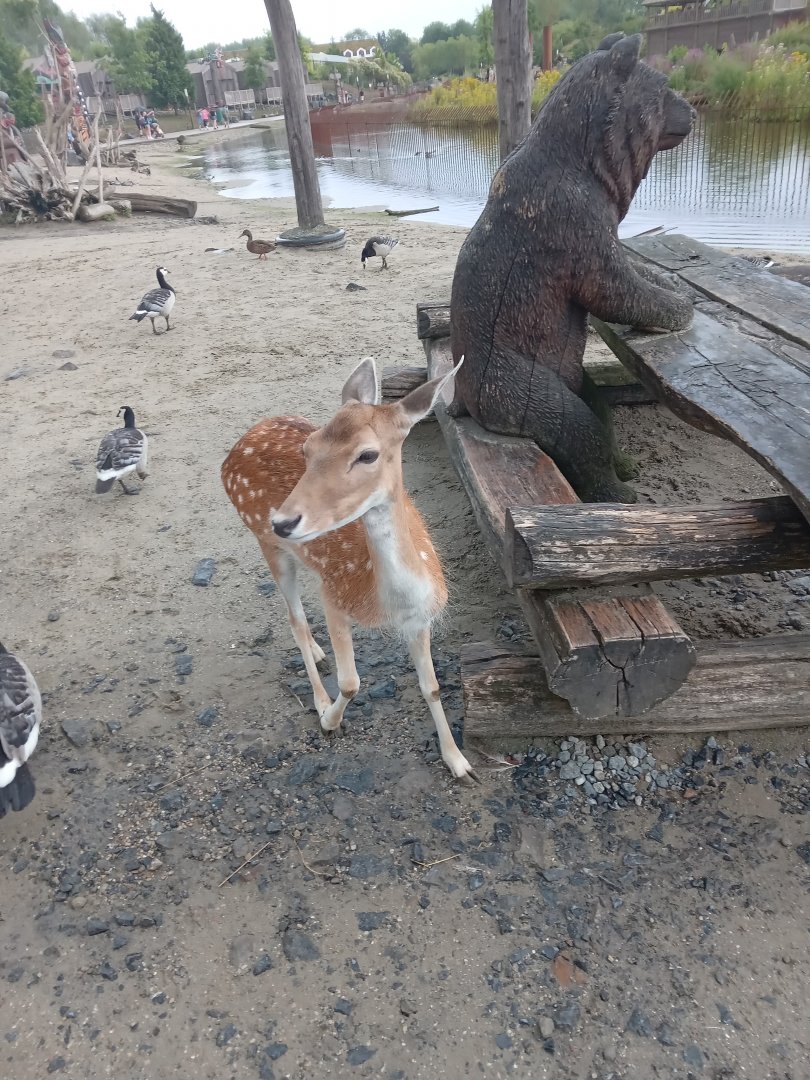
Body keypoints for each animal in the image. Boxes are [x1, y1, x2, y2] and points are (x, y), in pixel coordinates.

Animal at [221, 356, 477, 783]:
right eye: (308, 448)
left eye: (367, 455)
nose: (284, 521)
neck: (389, 604)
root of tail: (234, 450)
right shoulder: (335, 595)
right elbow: (352, 681)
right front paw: (329, 720)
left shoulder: (420, 618)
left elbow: (433, 686)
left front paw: (459, 762)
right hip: (265, 541)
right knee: (295, 618)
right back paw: (319, 695)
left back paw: (319, 651)